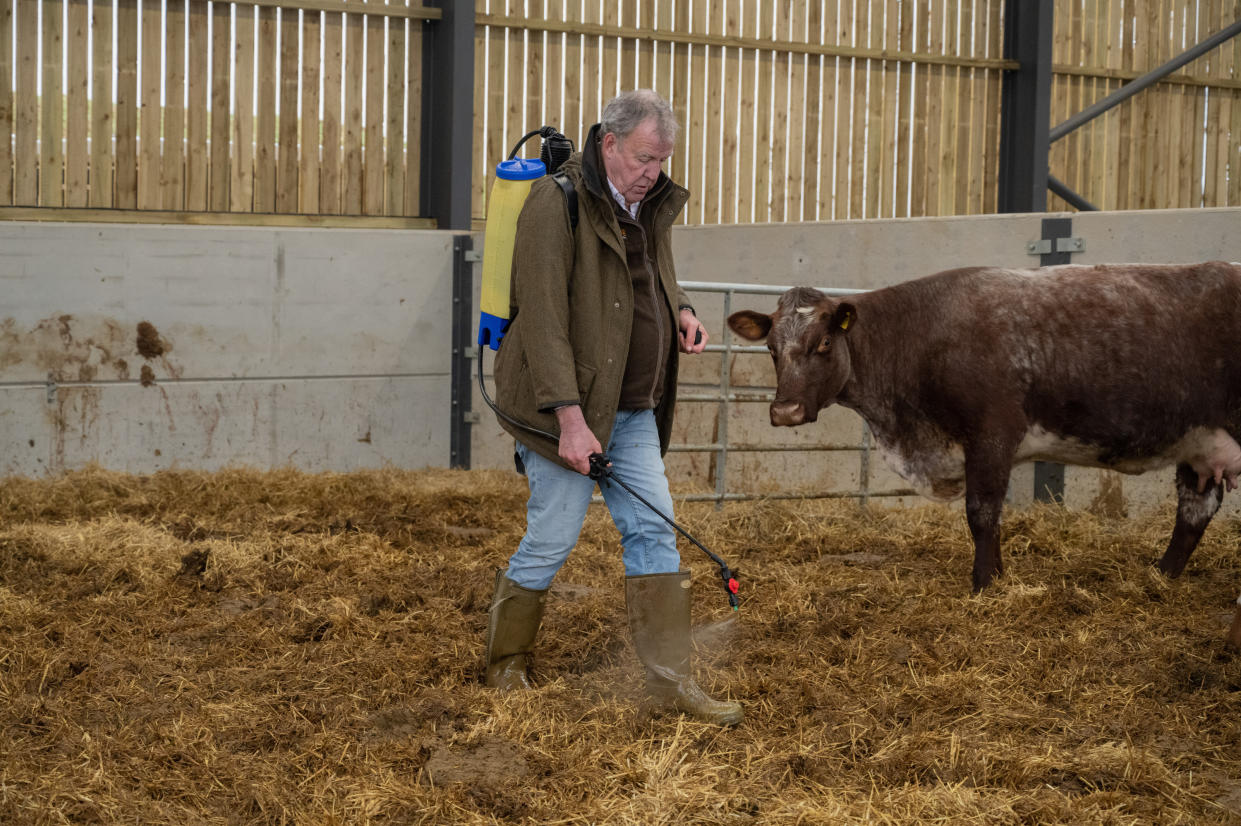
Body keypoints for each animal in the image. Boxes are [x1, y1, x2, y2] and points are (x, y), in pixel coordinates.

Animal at [724, 260, 1241, 627]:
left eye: (825, 344)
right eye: (771, 348)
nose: (785, 412)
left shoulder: (992, 434)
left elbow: (981, 513)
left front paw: (984, 584)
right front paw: (1000, 575)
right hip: (1201, 445)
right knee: (1194, 511)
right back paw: (1159, 576)